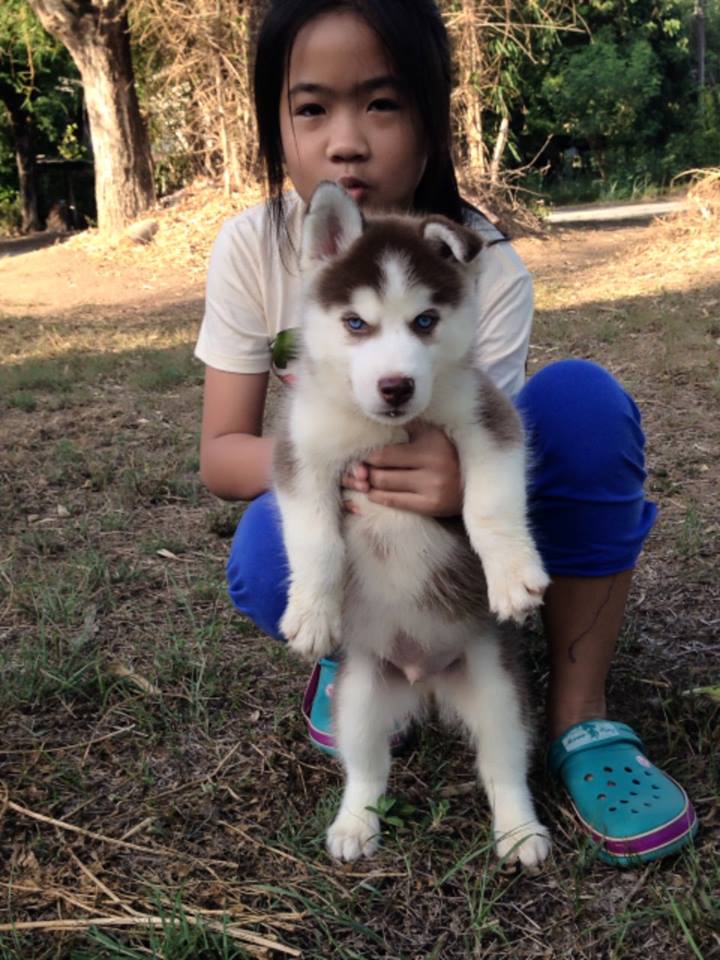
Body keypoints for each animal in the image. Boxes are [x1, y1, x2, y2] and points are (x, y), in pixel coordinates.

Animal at [273, 181, 551, 869]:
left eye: (425, 321)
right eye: (355, 323)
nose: (396, 386)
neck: (383, 430)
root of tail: (425, 683)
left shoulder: (487, 420)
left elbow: (488, 507)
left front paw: (512, 578)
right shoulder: (302, 455)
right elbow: (315, 541)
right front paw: (312, 614)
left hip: (498, 686)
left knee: (503, 766)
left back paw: (520, 832)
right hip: (359, 695)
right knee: (368, 768)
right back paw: (354, 825)